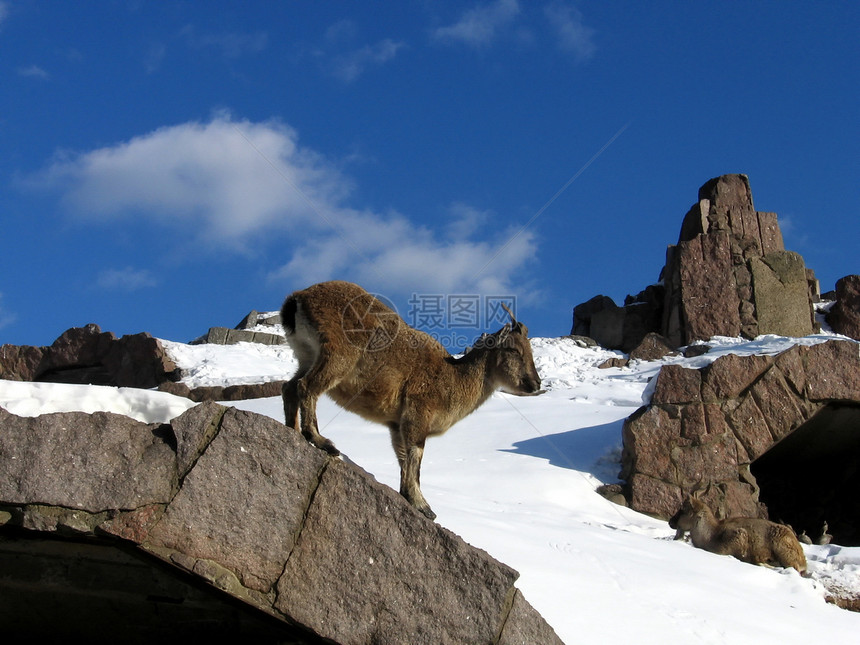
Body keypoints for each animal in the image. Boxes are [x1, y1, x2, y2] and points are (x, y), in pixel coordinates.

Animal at [278, 280, 540, 520]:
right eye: (514, 350)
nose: (535, 383)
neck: (452, 378)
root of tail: (298, 298)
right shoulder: (417, 414)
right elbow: (415, 458)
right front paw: (423, 506)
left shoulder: (396, 425)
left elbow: (403, 458)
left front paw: (409, 496)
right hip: (337, 355)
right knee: (306, 386)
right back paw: (321, 440)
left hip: (306, 355)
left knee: (289, 387)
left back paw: (292, 430)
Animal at [672, 488, 808, 572]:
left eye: (683, 509)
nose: (671, 522)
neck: (710, 535)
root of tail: (802, 558)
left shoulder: (737, 540)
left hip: (783, 551)